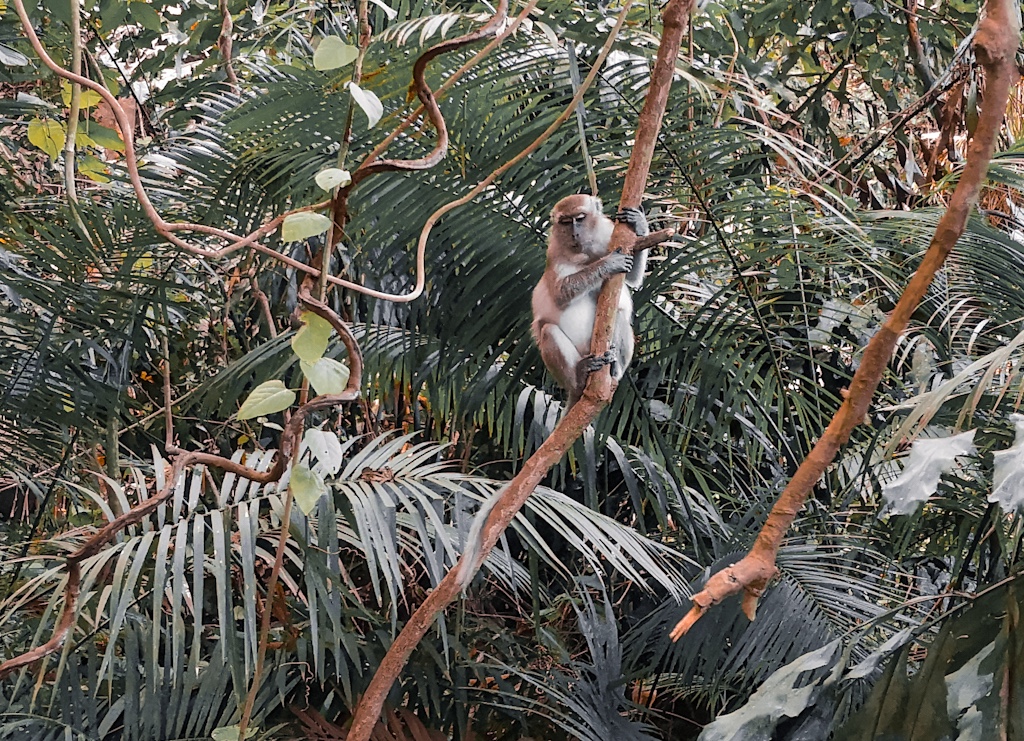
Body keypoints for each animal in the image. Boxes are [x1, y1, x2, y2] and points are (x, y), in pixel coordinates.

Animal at [528, 193, 647, 407]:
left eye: (580, 218)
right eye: (566, 222)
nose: (574, 234)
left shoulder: (610, 234)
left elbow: (632, 278)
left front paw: (639, 223)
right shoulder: (555, 253)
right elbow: (560, 293)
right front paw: (608, 263)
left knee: (619, 315)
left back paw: (614, 368)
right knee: (547, 330)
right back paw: (580, 375)